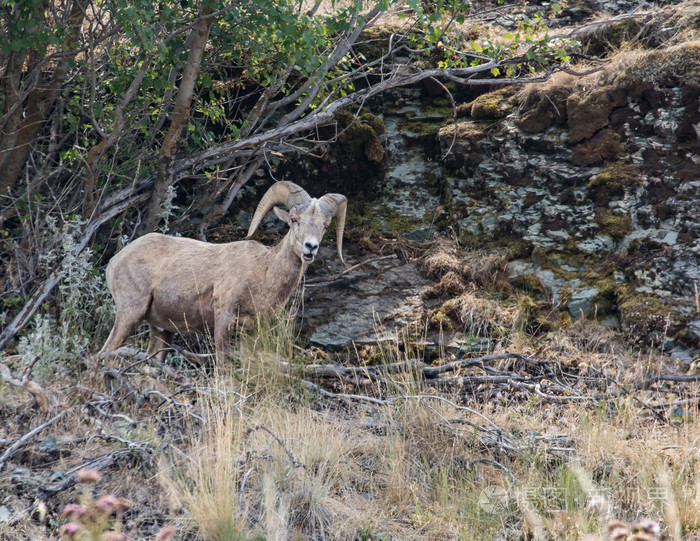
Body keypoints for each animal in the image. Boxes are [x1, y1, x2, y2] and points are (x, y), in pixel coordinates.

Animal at [97, 181, 348, 362]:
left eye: (325, 225)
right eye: (294, 220)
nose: (310, 247)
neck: (264, 273)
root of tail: (115, 261)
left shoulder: (252, 332)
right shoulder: (223, 320)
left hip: (161, 330)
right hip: (130, 313)